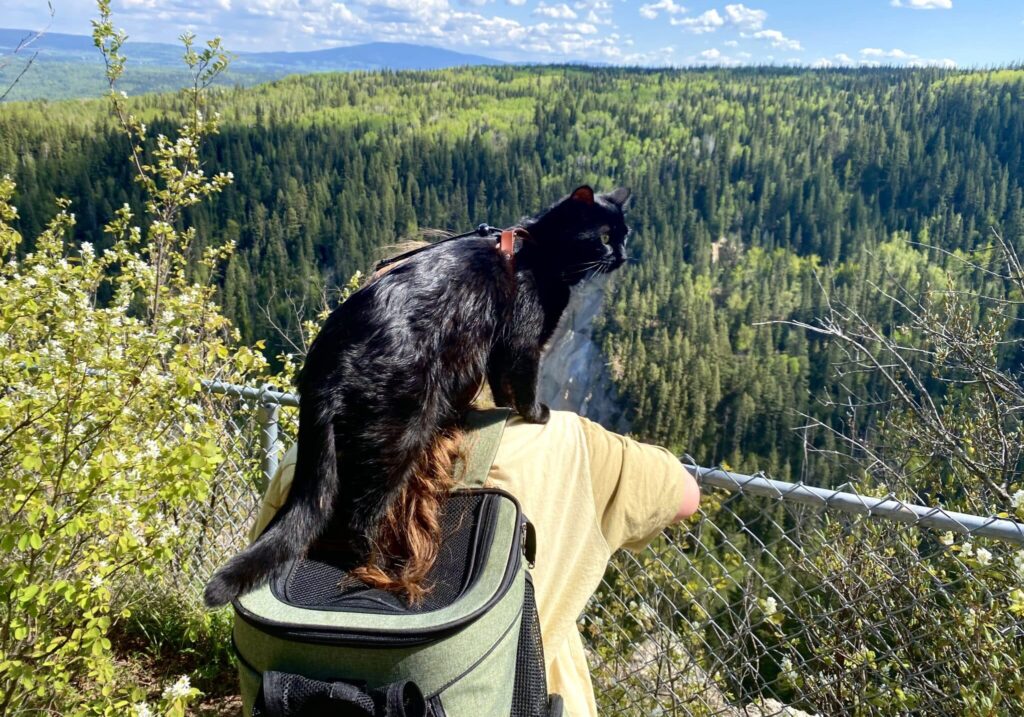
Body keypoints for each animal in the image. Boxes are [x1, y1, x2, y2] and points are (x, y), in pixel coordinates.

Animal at [201, 184, 630, 606]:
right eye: (605, 237)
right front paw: (537, 413)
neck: (539, 252)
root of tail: (325, 365)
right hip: (402, 431)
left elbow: (500, 386)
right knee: (359, 515)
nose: (624, 256)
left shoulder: (496, 351)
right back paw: (378, 566)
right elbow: (522, 383)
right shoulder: (522, 342)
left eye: (626, 235)